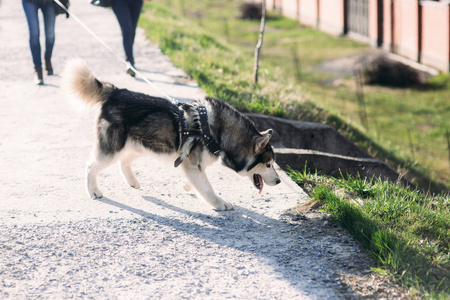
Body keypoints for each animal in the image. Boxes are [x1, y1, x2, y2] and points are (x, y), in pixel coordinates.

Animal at [61, 59, 280, 211]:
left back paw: (132, 182)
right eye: (268, 164)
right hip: (113, 147)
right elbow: (207, 188)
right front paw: (219, 203)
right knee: (91, 166)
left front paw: (187, 186)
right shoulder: (193, 163)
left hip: (140, 144)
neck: (217, 131)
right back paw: (93, 190)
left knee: (123, 161)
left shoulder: (191, 163)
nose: (278, 181)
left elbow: (196, 181)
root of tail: (115, 92)